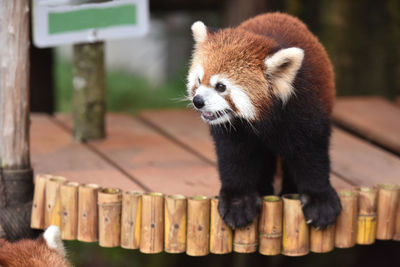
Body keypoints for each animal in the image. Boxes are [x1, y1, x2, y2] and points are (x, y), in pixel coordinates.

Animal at [188, 13, 340, 230]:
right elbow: (235, 158)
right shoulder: (233, 131)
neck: (263, 118)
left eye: (220, 86)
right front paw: (238, 202)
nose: (198, 101)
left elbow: (310, 156)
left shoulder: (304, 112)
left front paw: (320, 201)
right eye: (199, 80)